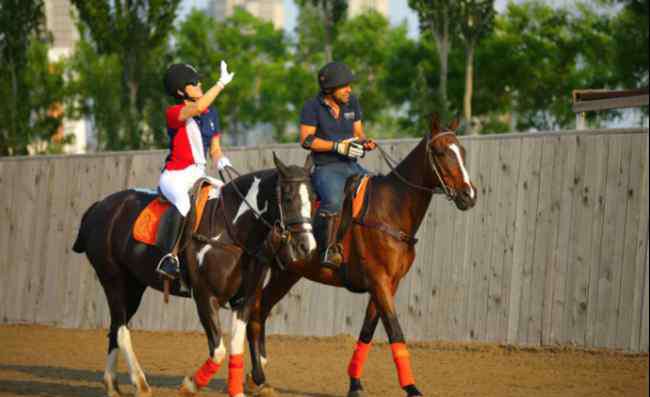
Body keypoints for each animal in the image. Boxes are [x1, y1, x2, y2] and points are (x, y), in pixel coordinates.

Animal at [72, 154, 316, 396]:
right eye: (287, 198)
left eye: (313, 199)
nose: (307, 246)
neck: (232, 231)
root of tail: (100, 206)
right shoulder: (205, 297)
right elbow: (218, 351)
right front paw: (189, 386)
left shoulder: (243, 301)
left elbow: (235, 347)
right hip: (113, 279)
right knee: (122, 330)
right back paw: (140, 384)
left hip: (133, 285)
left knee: (115, 327)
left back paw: (112, 384)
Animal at [243, 117, 476, 396]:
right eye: (440, 152)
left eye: (461, 151)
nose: (468, 195)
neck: (390, 209)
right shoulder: (379, 282)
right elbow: (394, 331)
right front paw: (411, 387)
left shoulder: (388, 284)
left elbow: (367, 331)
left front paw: (354, 383)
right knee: (254, 311)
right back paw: (257, 376)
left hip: (287, 273)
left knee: (261, 310)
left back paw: (257, 375)